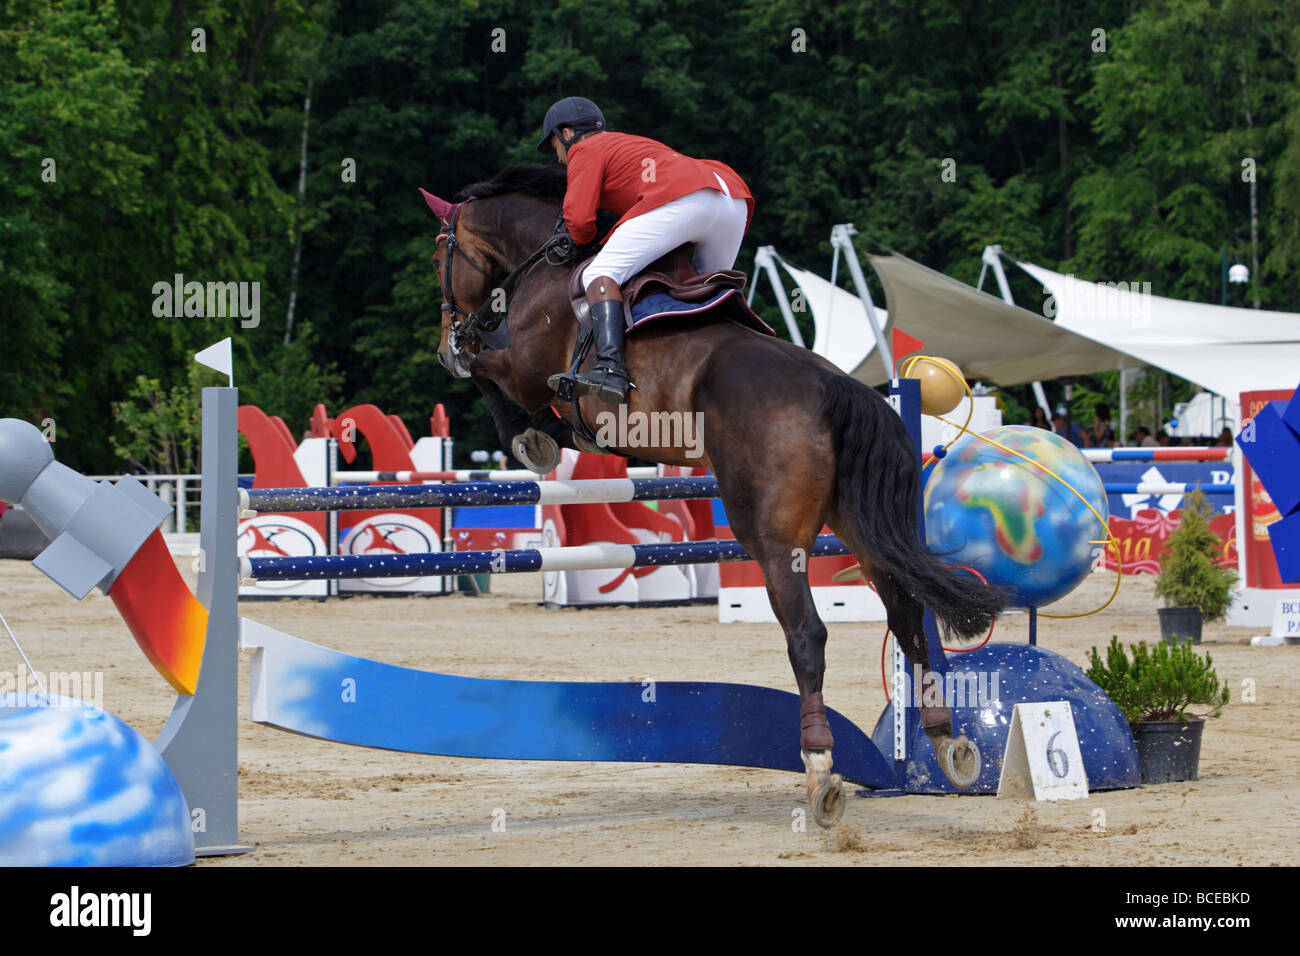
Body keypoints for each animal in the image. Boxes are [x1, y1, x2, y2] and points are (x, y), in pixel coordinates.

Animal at [422, 164, 1006, 826]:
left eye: (439, 255)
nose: (446, 344)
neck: (543, 264)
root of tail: (836, 389)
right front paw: (534, 432)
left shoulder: (524, 365)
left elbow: (490, 376)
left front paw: (530, 438)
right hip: (859, 525)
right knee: (906, 614)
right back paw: (946, 740)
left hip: (773, 539)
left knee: (808, 636)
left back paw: (820, 769)